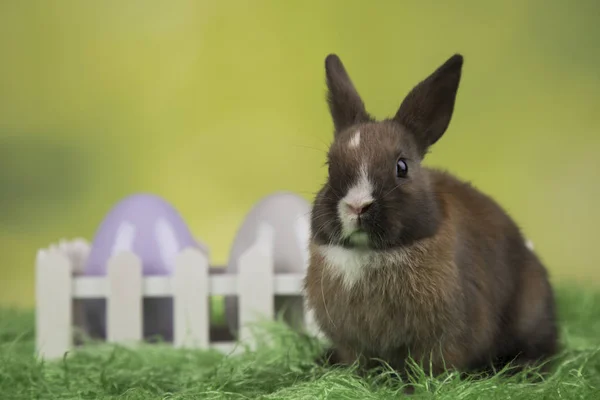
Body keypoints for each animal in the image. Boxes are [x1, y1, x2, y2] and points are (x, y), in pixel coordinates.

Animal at [302, 52, 560, 376]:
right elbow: (358, 362)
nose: (357, 205)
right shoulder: (351, 342)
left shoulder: (444, 338)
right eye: (329, 167)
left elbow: (430, 366)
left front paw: (414, 385)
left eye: (402, 167)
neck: (369, 254)